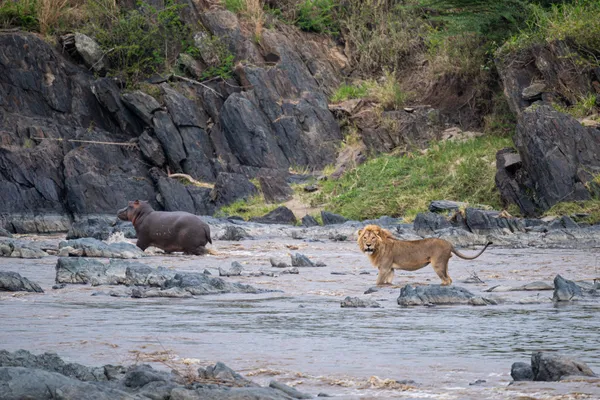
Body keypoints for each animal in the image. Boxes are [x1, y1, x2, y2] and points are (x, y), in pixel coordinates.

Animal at [356, 223, 492, 286]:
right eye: (365, 237)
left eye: (373, 238)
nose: (368, 245)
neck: (377, 249)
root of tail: (449, 243)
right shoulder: (390, 269)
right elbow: (388, 282)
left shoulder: (384, 268)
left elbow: (378, 282)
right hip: (444, 265)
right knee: (449, 278)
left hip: (438, 264)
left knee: (446, 280)